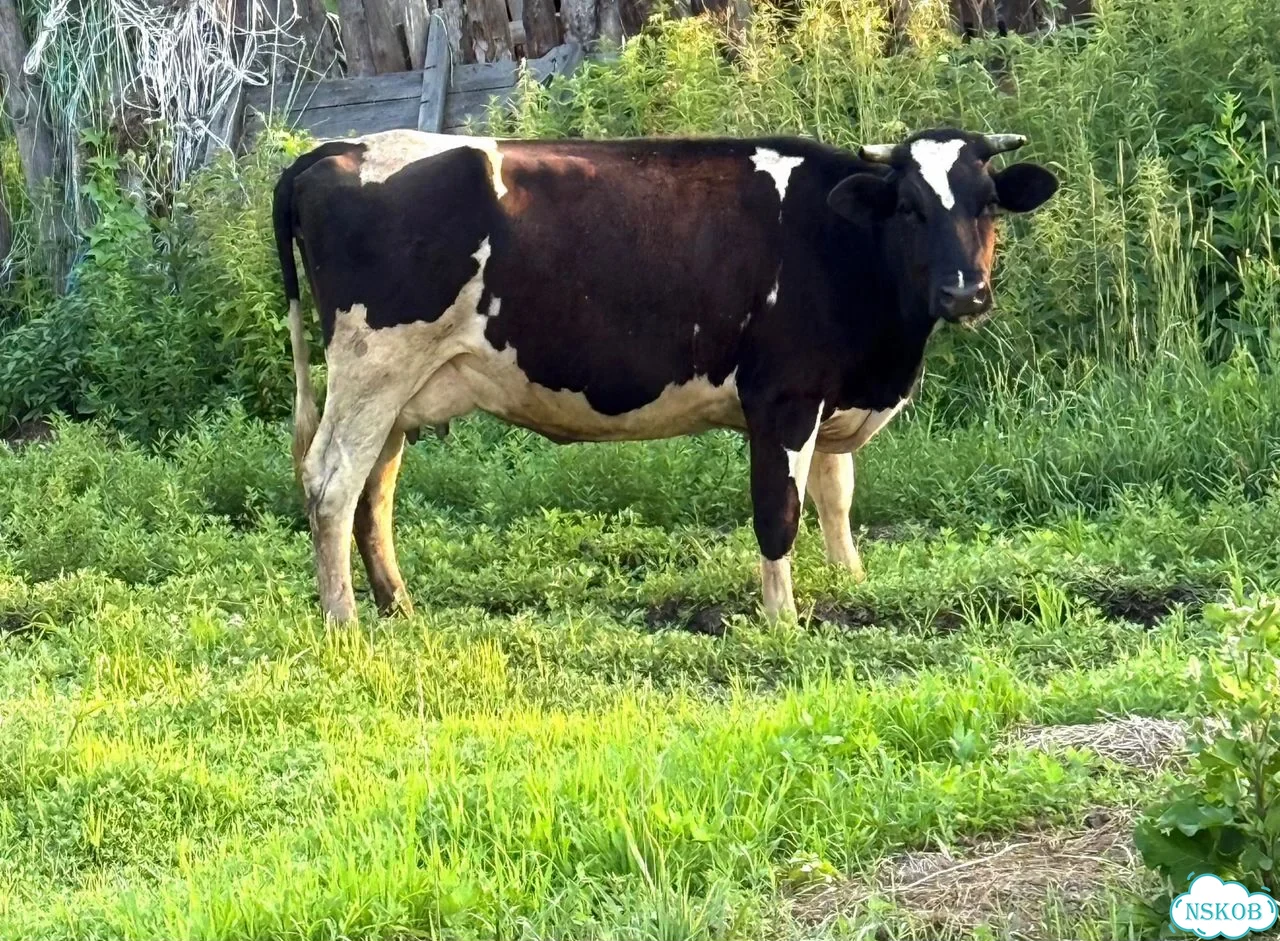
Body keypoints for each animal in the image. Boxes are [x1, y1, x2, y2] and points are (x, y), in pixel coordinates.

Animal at [272, 126, 1058, 624]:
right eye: (910, 207)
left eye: (988, 202)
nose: (965, 292)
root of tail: (335, 150)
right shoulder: (781, 398)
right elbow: (779, 511)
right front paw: (783, 618)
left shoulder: (829, 397)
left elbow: (835, 497)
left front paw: (851, 583)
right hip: (373, 366)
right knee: (331, 483)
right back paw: (344, 621)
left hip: (399, 388)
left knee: (373, 490)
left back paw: (397, 606)